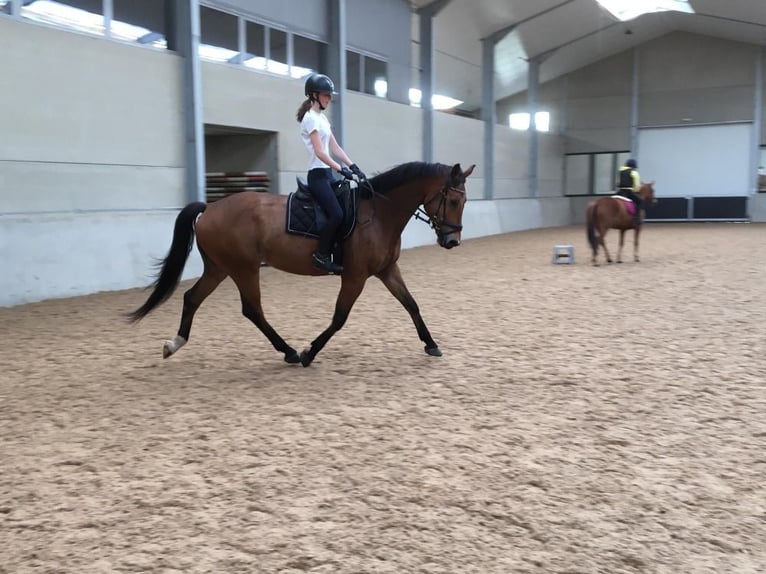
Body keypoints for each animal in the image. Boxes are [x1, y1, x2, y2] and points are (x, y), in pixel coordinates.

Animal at [128, 161, 476, 367]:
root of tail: (210, 208)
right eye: (453, 200)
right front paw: (310, 352)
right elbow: (339, 317)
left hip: (220, 268)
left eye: (464, 201)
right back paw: (291, 352)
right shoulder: (355, 276)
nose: (452, 241)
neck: (378, 214)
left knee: (192, 298)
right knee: (252, 310)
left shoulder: (387, 270)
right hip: (243, 268)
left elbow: (411, 304)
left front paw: (431, 345)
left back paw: (174, 344)